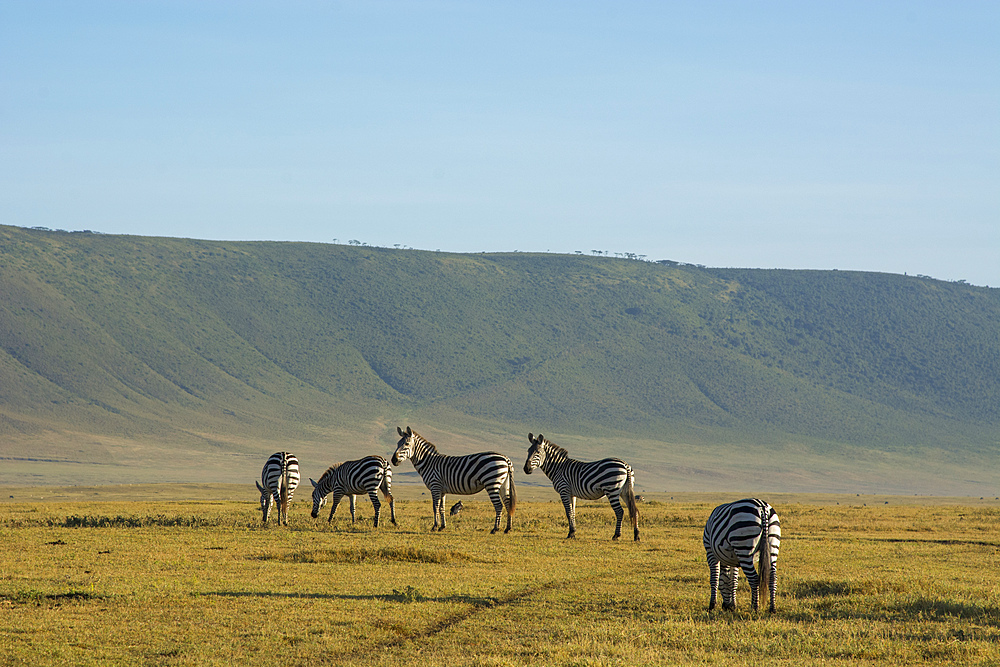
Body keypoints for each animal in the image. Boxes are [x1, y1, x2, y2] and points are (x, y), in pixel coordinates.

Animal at [388, 430, 516, 536]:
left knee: (499, 505)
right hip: (504, 484)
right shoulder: (442, 490)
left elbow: (435, 507)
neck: (428, 463)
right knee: (507, 503)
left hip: (492, 483)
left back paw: (495, 529)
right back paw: (507, 529)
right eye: (397, 444)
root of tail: (506, 459)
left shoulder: (435, 486)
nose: (393, 460)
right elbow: (442, 508)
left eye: (406, 444)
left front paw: (434, 527)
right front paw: (442, 527)